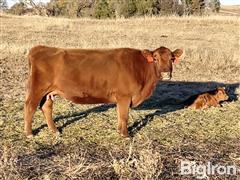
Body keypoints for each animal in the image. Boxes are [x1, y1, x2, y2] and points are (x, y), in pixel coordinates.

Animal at [23, 45, 182, 137]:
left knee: (46, 107)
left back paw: (54, 130)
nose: (166, 74)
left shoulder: (121, 99)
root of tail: (40, 48)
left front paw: (120, 131)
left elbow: (120, 116)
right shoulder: (124, 96)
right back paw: (29, 133)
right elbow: (124, 116)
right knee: (30, 106)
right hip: (37, 88)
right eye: (155, 58)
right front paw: (126, 135)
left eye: (172, 58)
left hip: (48, 92)